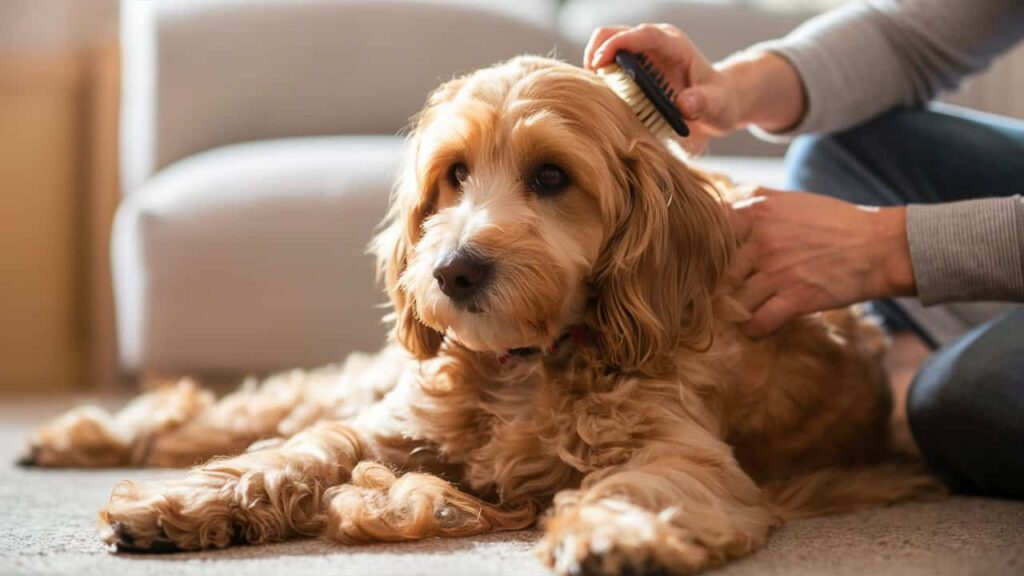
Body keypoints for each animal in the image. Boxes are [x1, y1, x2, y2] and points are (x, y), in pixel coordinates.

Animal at [18, 56, 942, 569]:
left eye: (552, 177)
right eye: (454, 174)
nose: (453, 270)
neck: (527, 364)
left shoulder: (687, 454)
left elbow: (643, 485)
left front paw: (613, 535)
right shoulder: (390, 424)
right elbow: (300, 448)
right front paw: (182, 505)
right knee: (241, 407)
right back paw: (76, 436)